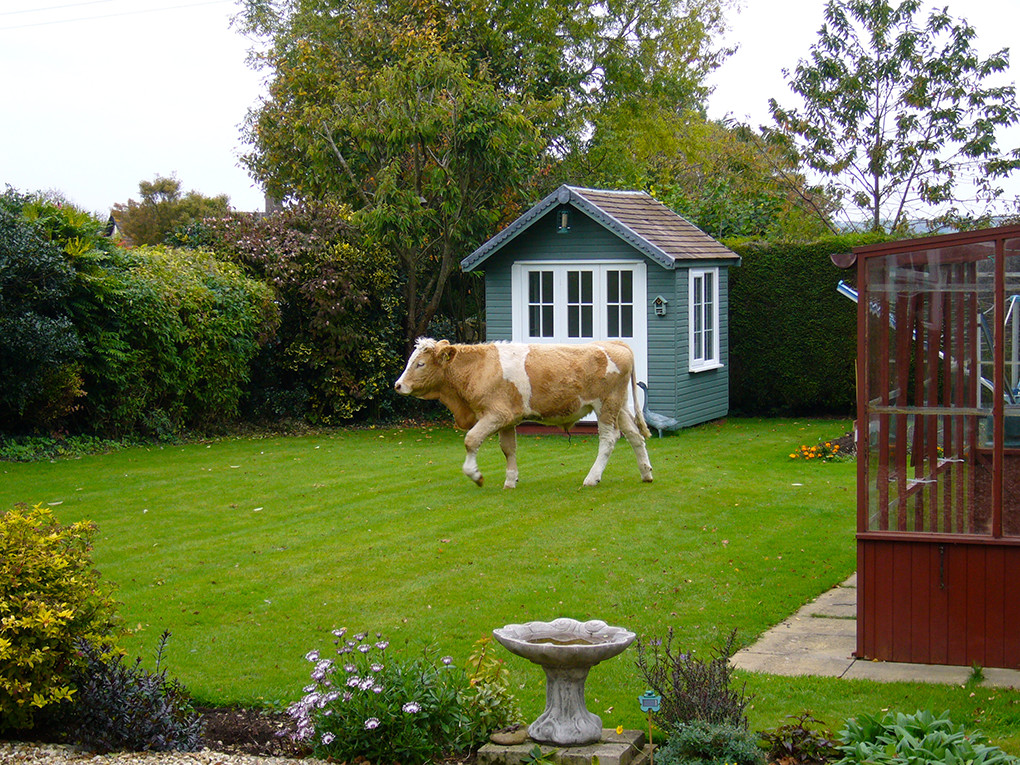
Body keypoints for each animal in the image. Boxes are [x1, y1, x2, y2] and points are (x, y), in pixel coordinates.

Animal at [391, 340, 652, 491]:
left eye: (420, 364)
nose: (398, 385)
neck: (479, 367)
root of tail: (614, 343)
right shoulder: (508, 418)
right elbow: (508, 449)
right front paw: (510, 480)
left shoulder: (495, 414)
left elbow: (471, 440)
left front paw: (475, 475)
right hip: (619, 407)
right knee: (635, 436)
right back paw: (646, 473)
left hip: (605, 406)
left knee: (609, 440)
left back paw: (592, 477)